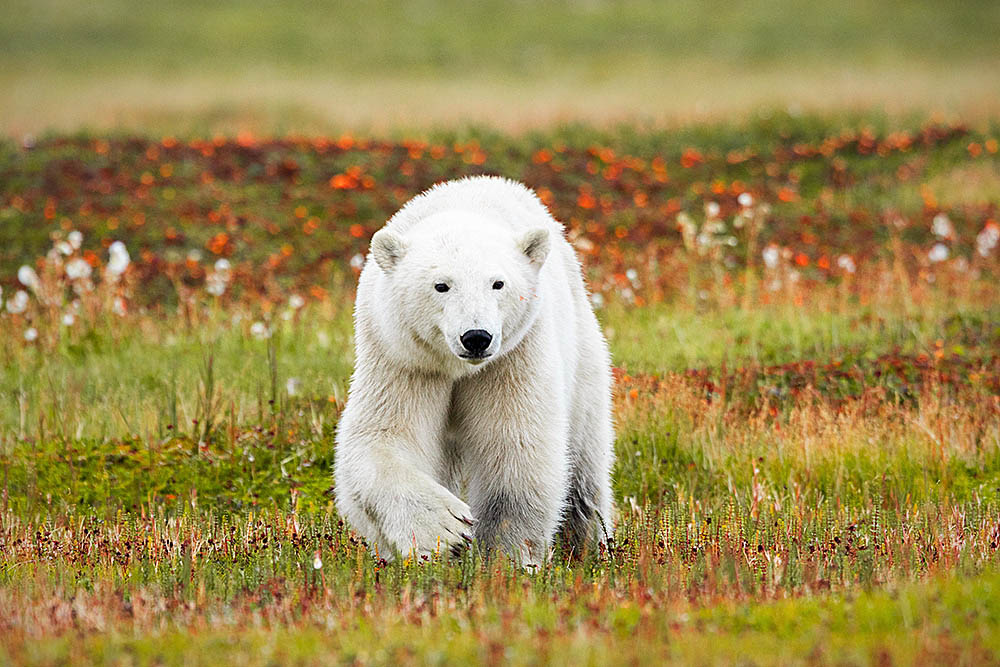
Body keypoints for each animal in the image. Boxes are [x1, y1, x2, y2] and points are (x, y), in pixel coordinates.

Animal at [336, 176, 612, 564]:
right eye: (441, 285)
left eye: (498, 283)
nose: (476, 337)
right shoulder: (401, 357)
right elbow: (383, 436)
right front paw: (445, 530)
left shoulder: (513, 356)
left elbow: (516, 442)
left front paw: (505, 553)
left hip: (583, 354)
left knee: (585, 464)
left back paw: (589, 544)